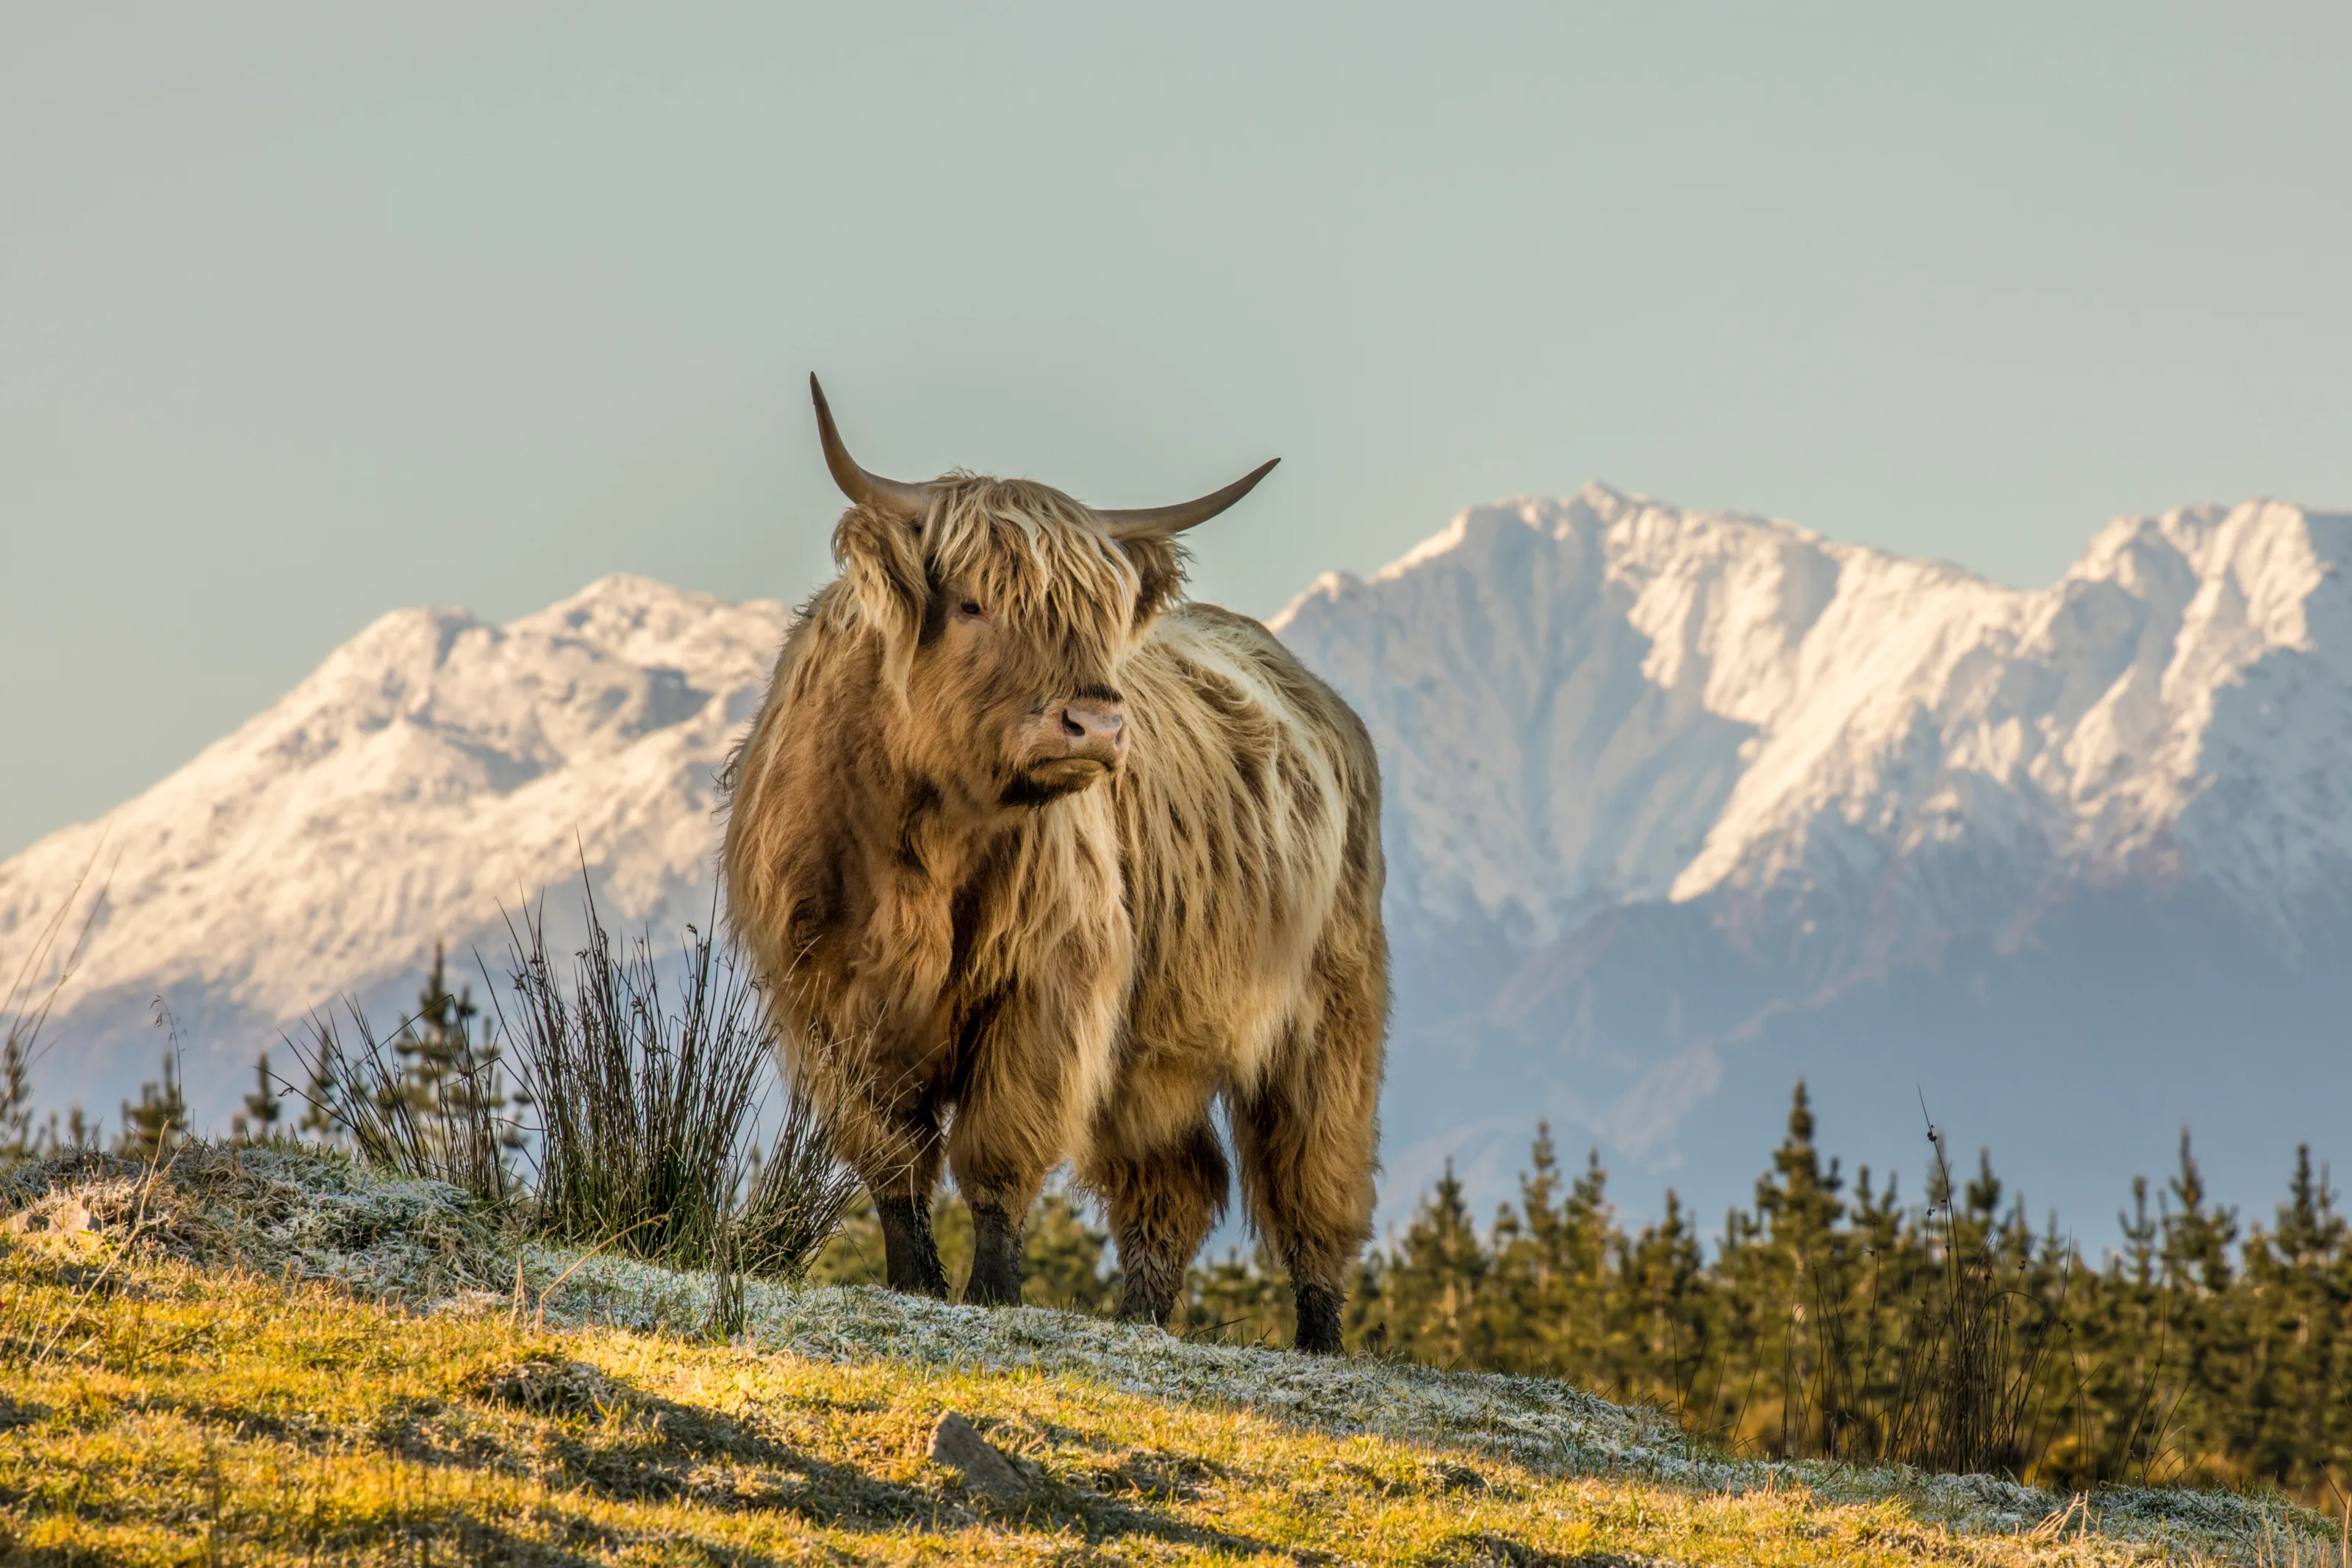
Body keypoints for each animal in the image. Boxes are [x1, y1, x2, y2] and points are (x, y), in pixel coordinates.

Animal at [720, 377, 1386, 1352]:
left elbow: (998, 1149)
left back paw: (1319, 1338)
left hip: (1328, 1010)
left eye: (1098, 614)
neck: (918, 846)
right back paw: (1142, 1322)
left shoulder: (1047, 989)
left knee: (1313, 1178)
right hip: (1154, 1045)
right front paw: (914, 1281)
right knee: (1175, 1184)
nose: (1097, 724)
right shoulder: (827, 1000)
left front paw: (993, 1291)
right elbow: (891, 1156)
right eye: (972, 605)